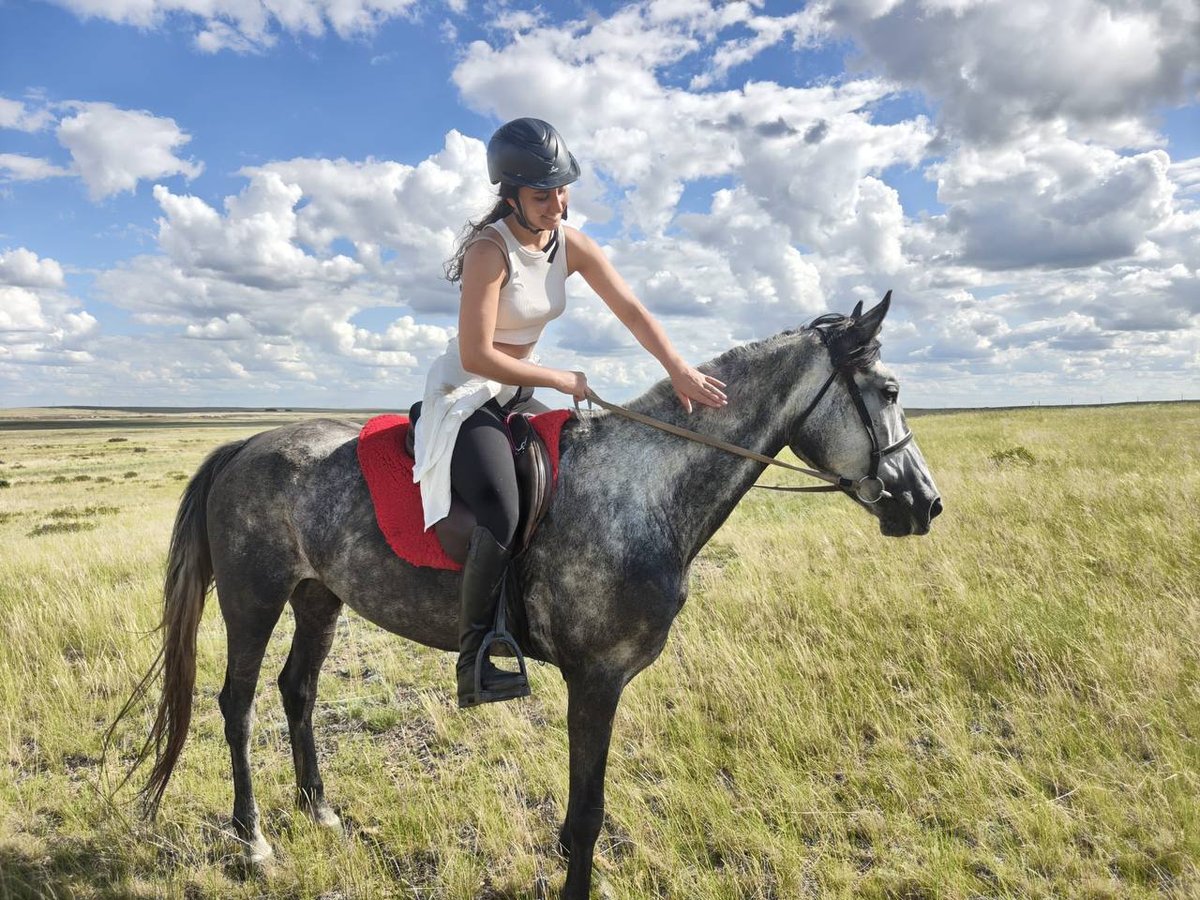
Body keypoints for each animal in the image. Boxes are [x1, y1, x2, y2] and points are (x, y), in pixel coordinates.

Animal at [113, 292, 941, 899]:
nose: (925, 503)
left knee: (299, 691)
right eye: (890, 390)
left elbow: (583, 813)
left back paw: (321, 812)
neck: (641, 490)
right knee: (239, 703)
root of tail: (242, 447)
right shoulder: (597, 678)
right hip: (254, 599)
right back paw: (254, 839)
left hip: (319, 596)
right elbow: (586, 815)